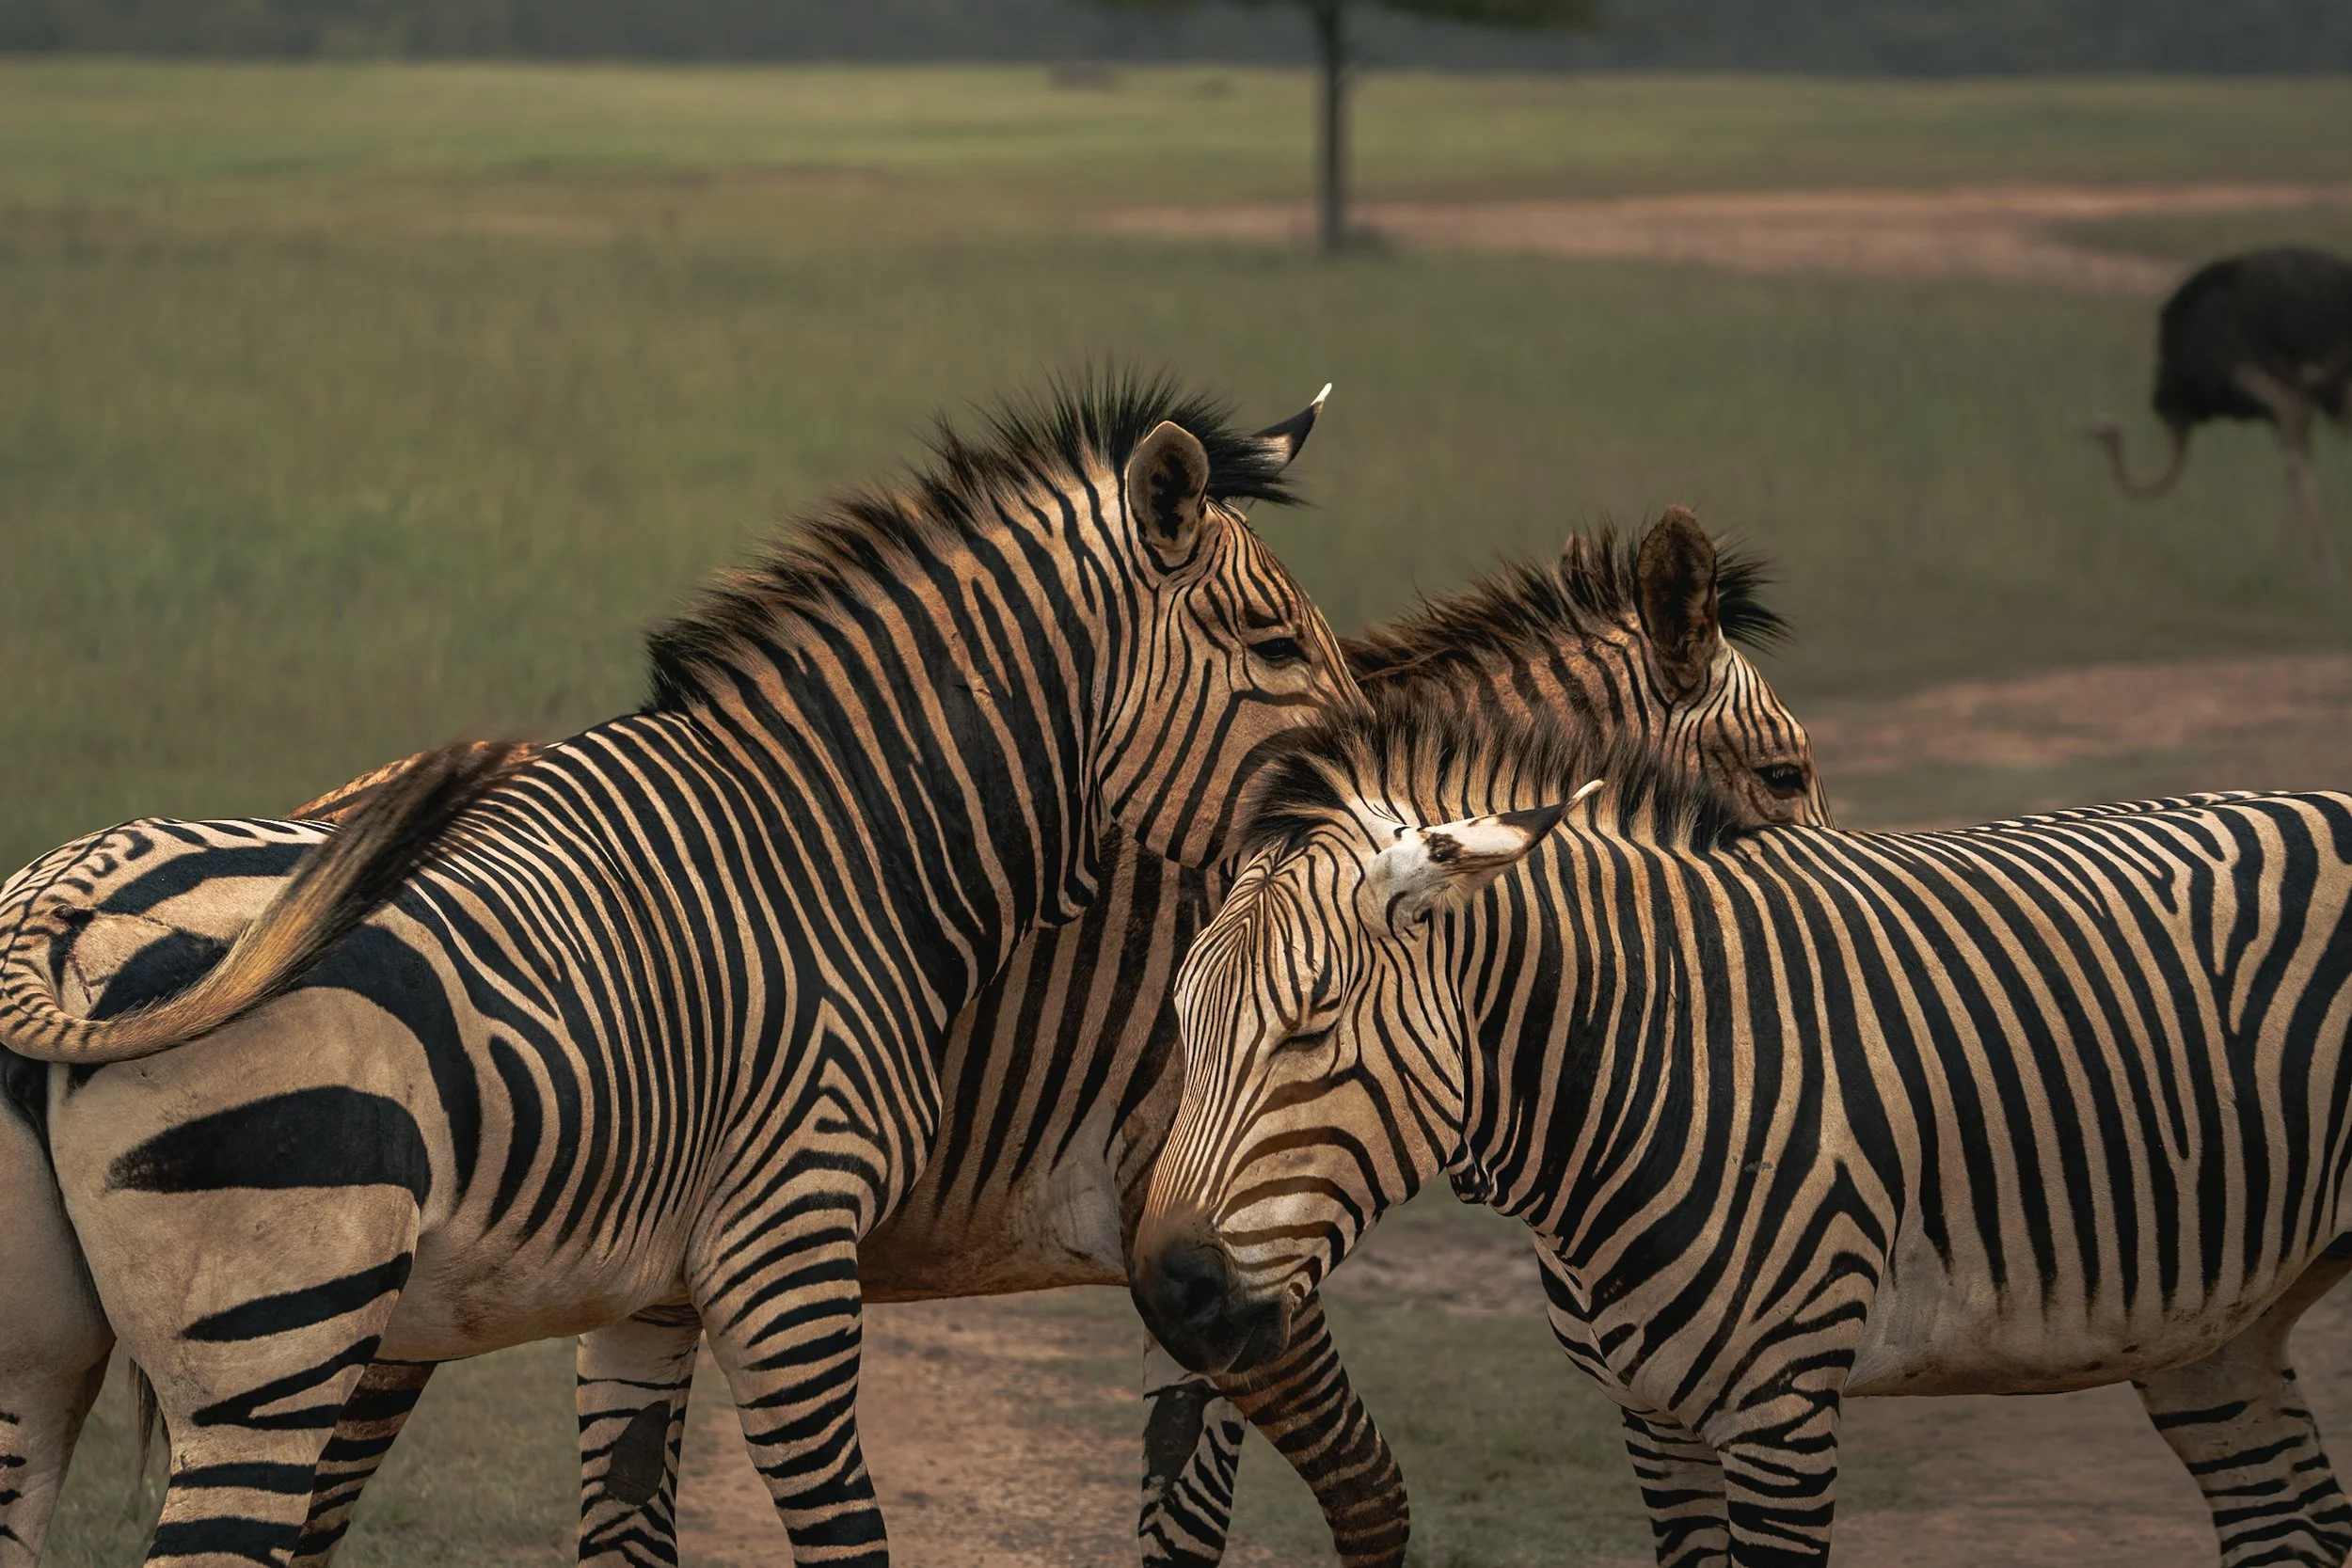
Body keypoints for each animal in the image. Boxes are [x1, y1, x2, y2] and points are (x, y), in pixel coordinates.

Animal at [0, 376, 1364, 1568]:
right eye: (1270, 642)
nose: (1381, 807)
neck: (840, 849)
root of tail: (54, 911)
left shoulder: (646, 1285)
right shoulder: (788, 1239)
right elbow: (845, 1533)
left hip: (41, 1365)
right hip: (277, 1335)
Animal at [1133, 694, 2352, 1568]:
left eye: (1313, 1022)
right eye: (1182, 1018)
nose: (1169, 1294)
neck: (1661, 1049)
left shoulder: (1782, 1407)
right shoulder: (1654, 1414)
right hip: (2214, 1320)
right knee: (2290, 1521)